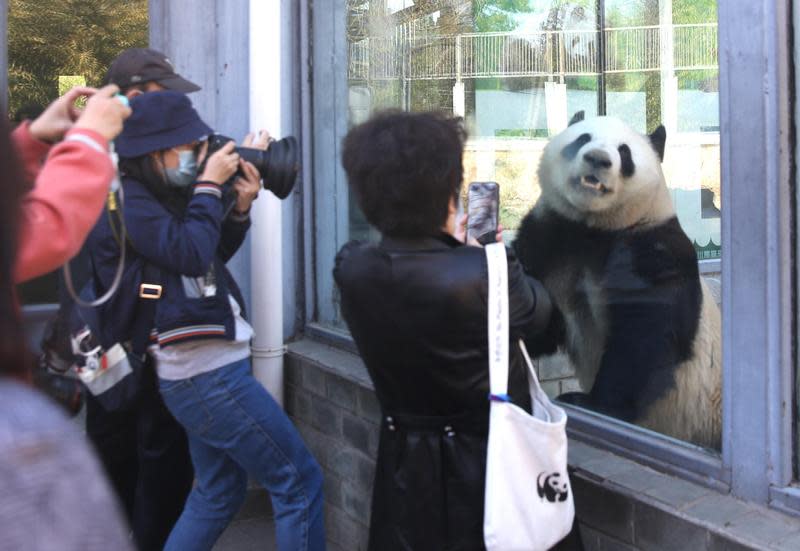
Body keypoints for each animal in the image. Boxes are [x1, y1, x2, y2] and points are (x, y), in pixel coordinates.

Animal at [516, 111, 720, 448]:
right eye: (582, 138)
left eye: (624, 153)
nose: (598, 159)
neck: (592, 227)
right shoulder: (551, 237)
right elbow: (540, 326)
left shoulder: (651, 251)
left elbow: (643, 338)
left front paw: (587, 402)